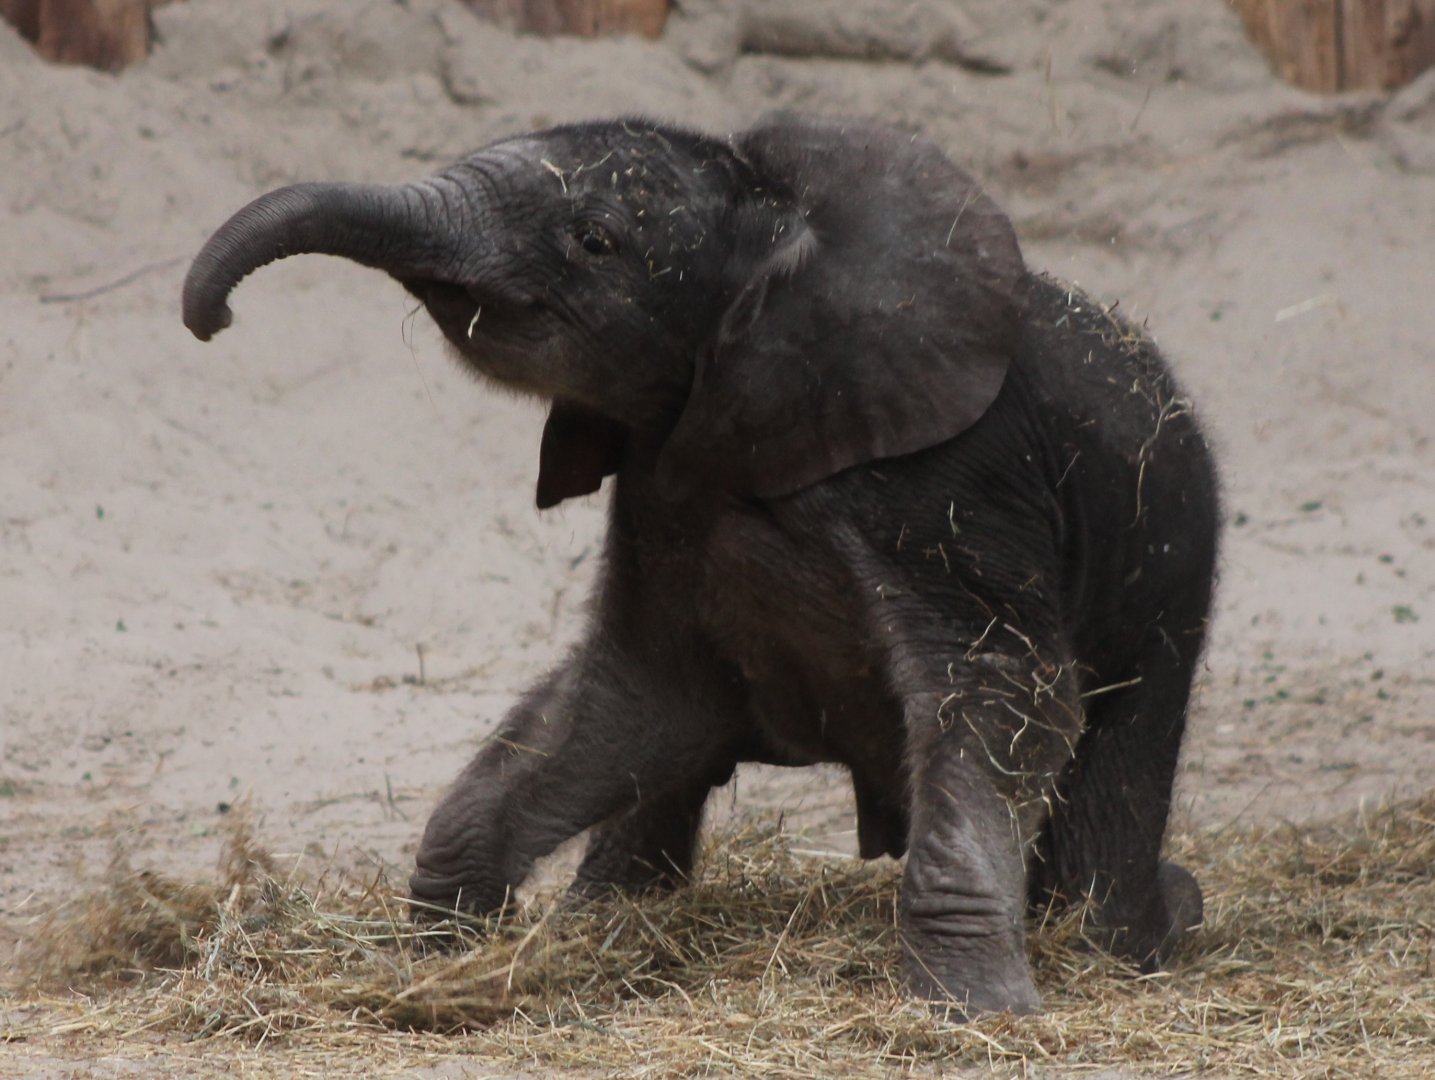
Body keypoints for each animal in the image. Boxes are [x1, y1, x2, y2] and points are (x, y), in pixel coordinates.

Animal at [182, 114, 1219, 1016]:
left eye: (594, 239)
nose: (213, 321)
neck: (780, 234)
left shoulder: (948, 483)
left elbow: (1004, 694)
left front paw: (971, 1015)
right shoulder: (662, 483)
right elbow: (642, 696)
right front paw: (449, 950)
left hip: (1171, 574)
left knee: (1119, 749)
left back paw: (1127, 937)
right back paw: (605, 918)